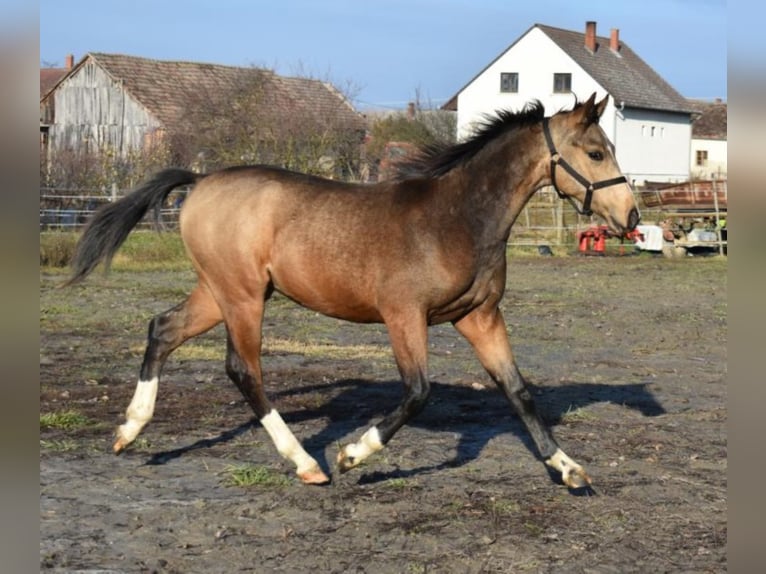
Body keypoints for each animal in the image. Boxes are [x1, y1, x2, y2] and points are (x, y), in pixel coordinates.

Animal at [67, 93, 639, 490]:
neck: (456, 218)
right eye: (595, 152)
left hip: (219, 292)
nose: (631, 217)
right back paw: (307, 464)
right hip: (242, 297)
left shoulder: (479, 316)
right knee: (243, 369)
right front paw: (352, 454)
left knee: (162, 329)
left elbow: (518, 392)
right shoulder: (404, 315)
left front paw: (568, 468)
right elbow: (417, 392)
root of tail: (202, 180)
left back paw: (129, 431)